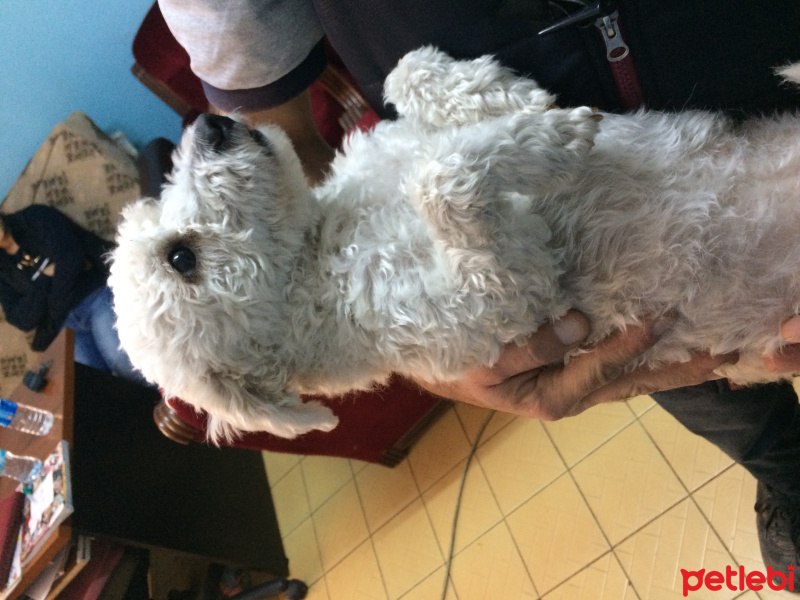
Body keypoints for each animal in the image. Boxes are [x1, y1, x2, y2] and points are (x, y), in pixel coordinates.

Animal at [109, 48, 800, 440]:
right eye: (182, 258)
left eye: (156, 194)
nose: (208, 124)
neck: (324, 241)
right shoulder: (508, 293)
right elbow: (443, 182)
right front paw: (549, 139)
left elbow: (407, 76)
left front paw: (513, 99)